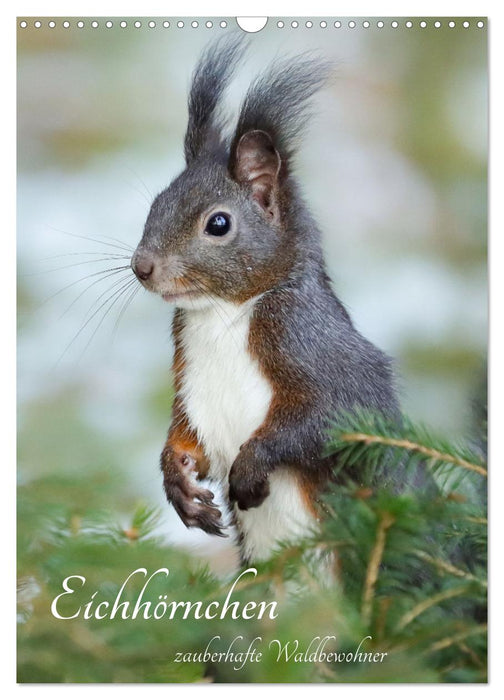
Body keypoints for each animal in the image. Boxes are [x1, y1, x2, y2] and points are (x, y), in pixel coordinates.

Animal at [132, 37, 400, 564]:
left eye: (218, 223)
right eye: (156, 204)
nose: (141, 266)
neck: (223, 311)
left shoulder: (314, 343)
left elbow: (330, 416)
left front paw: (252, 468)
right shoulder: (189, 379)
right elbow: (184, 436)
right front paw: (178, 482)